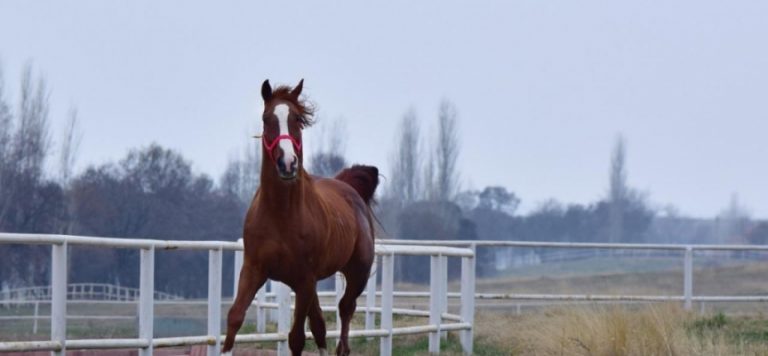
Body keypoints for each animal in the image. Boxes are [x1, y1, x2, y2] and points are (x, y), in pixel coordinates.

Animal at [220, 79, 380, 354]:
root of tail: (348, 187)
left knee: (344, 311)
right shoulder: (253, 270)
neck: (281, 214)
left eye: (297, 119)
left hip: (356, 274)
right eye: (266, 119)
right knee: (319, 325)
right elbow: (235, 318)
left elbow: (296, 337)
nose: (288, 163)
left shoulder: (304, 280)